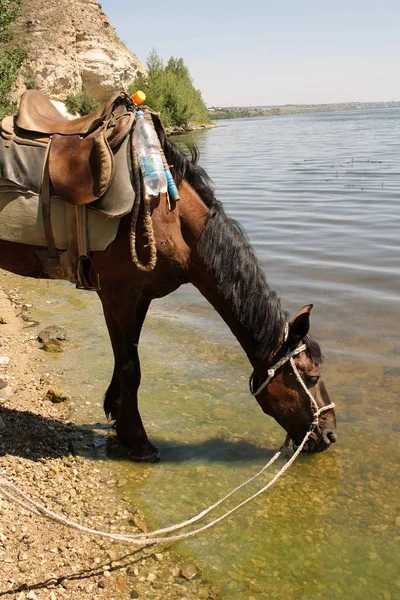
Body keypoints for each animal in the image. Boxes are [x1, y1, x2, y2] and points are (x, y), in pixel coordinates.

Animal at [0, 94, 338, 462]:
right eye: (311, 375)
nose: (330, 434)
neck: (169, 216)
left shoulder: (141, 296)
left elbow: (125, 360)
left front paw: (118, 416)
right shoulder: (117, 294)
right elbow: (130, 366)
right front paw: (137, 440)